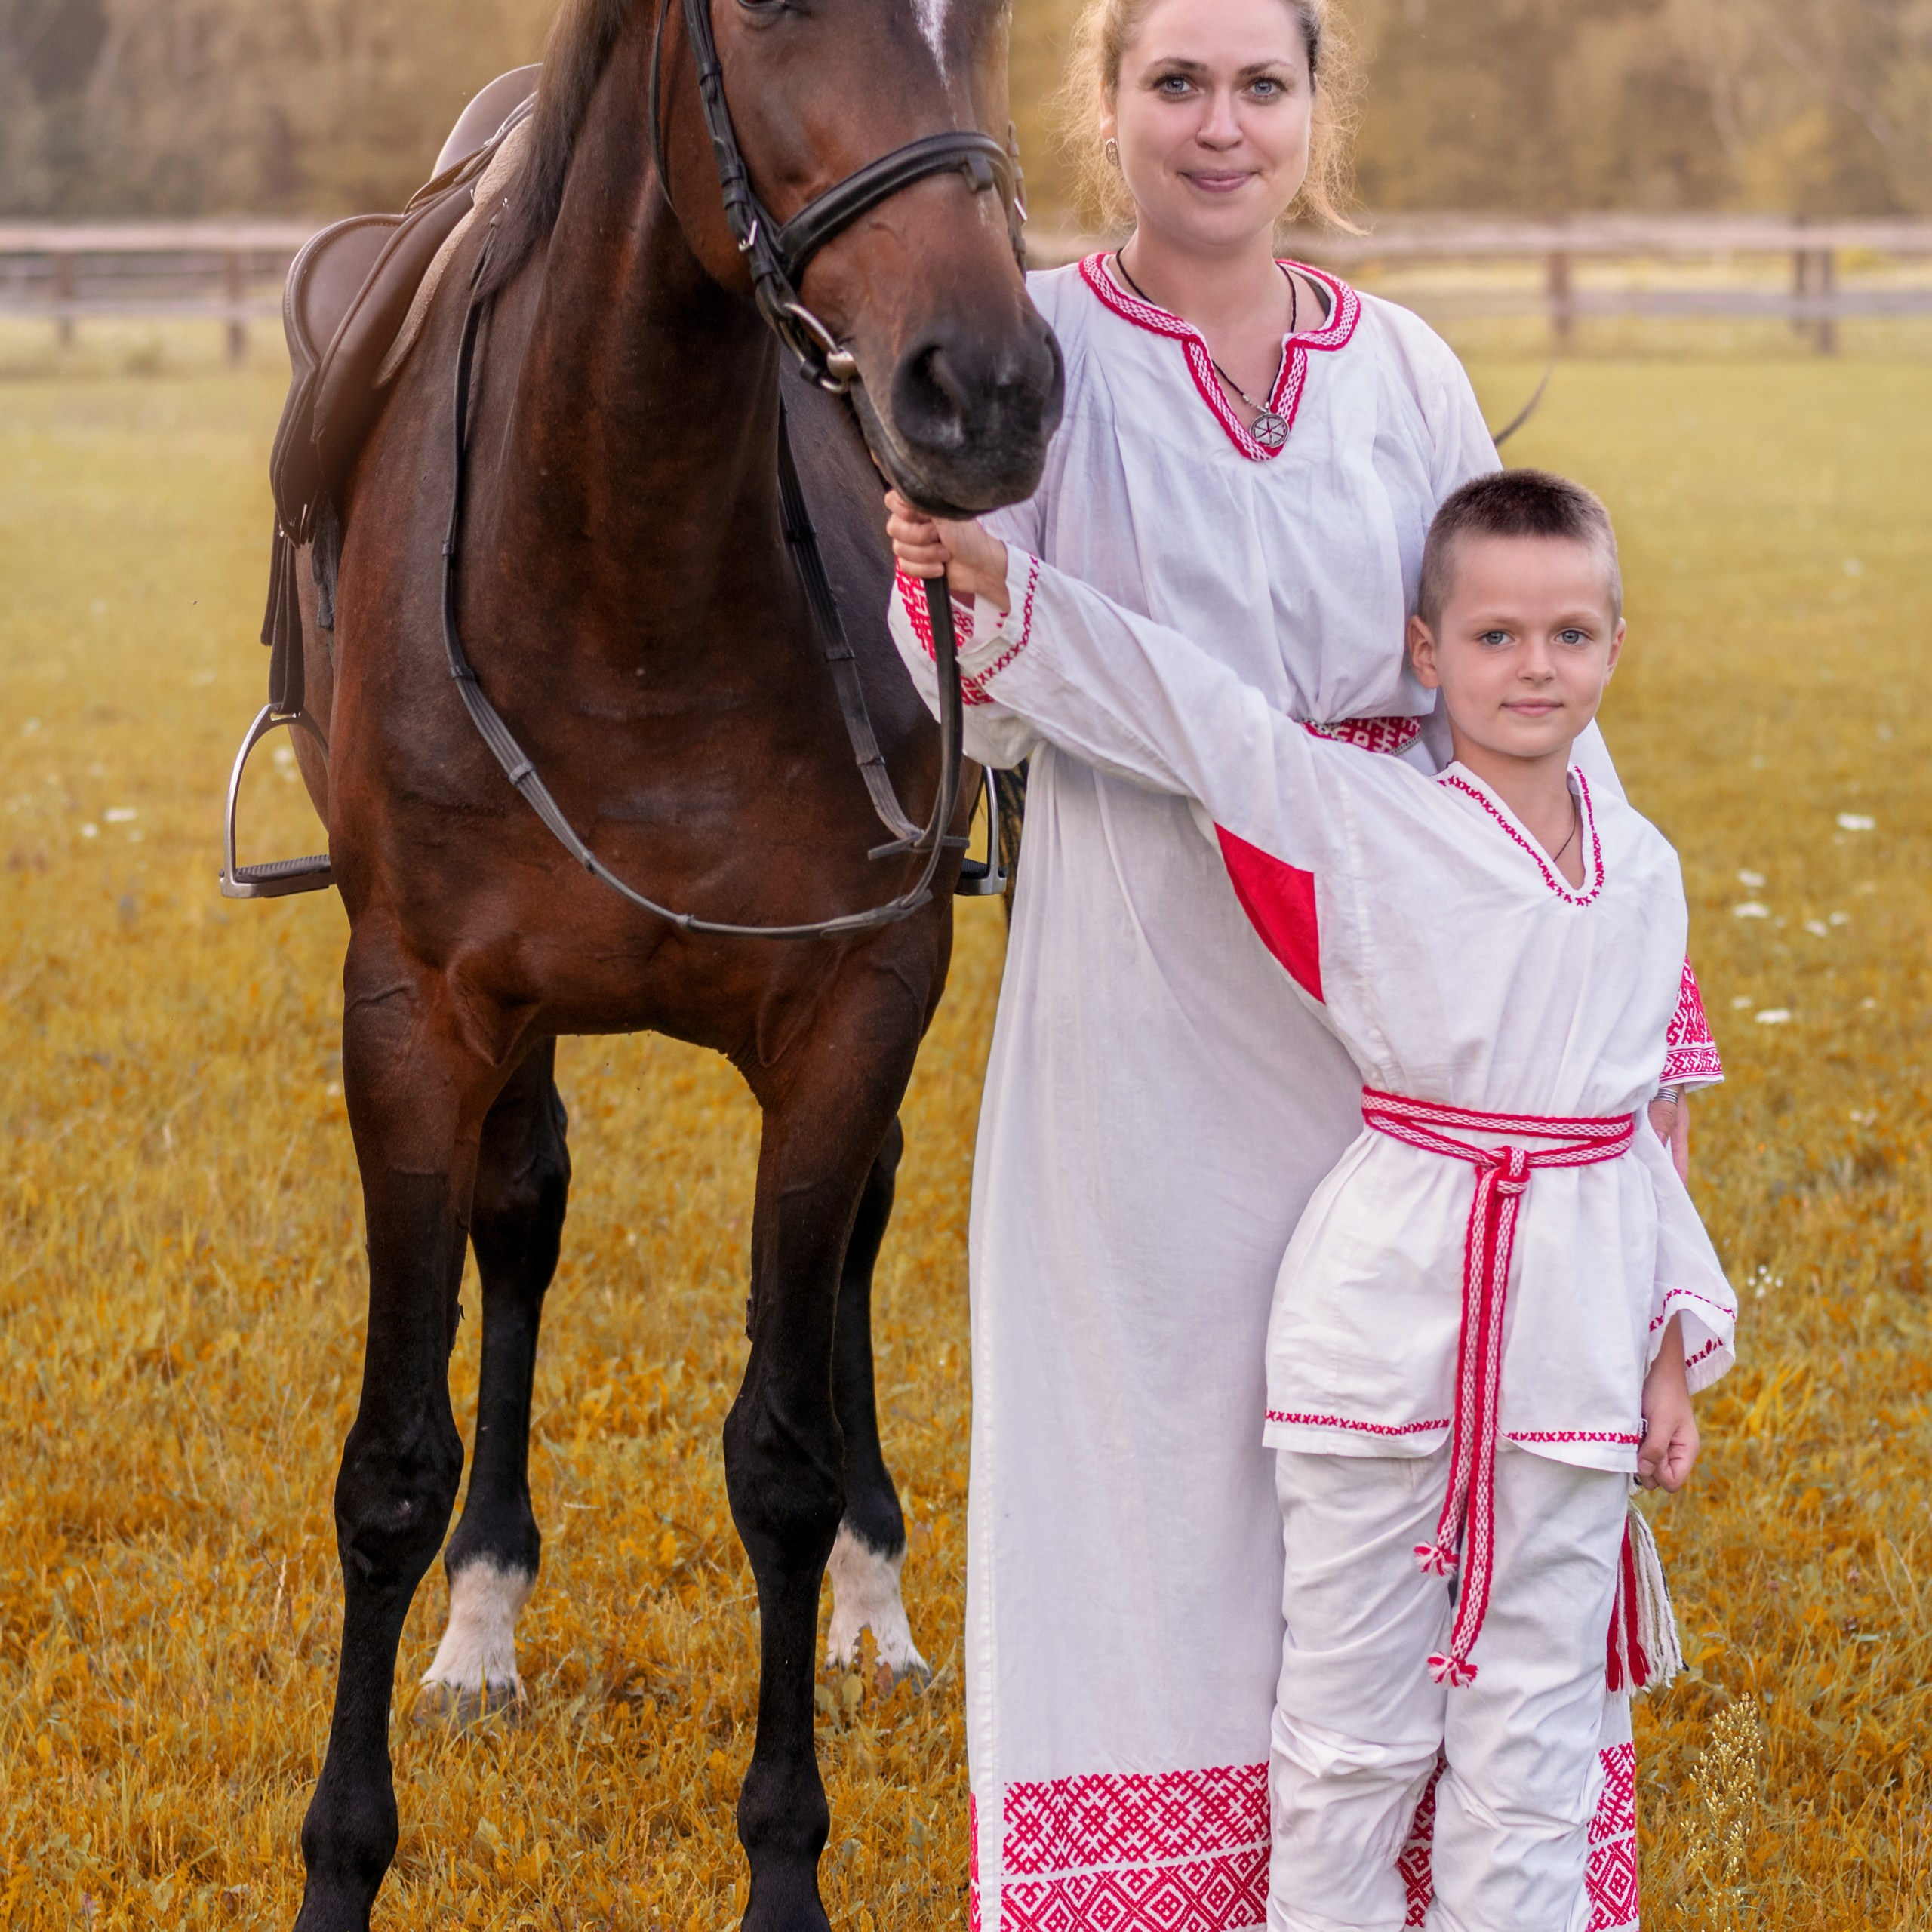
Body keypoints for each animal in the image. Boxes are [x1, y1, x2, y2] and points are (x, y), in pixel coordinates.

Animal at [272, 0, 1061, 1923]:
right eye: (771, 13)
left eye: (992, 18)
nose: (984, 393)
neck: (620, 568)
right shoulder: (414, 1015)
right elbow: (389, 1463)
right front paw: (345, 1857)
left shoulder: (852, 1003)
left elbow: (778, 1450)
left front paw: (783, 1862)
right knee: (524, 1221)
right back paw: (481, 1625)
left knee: (847, 1254)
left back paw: (873, 1605)